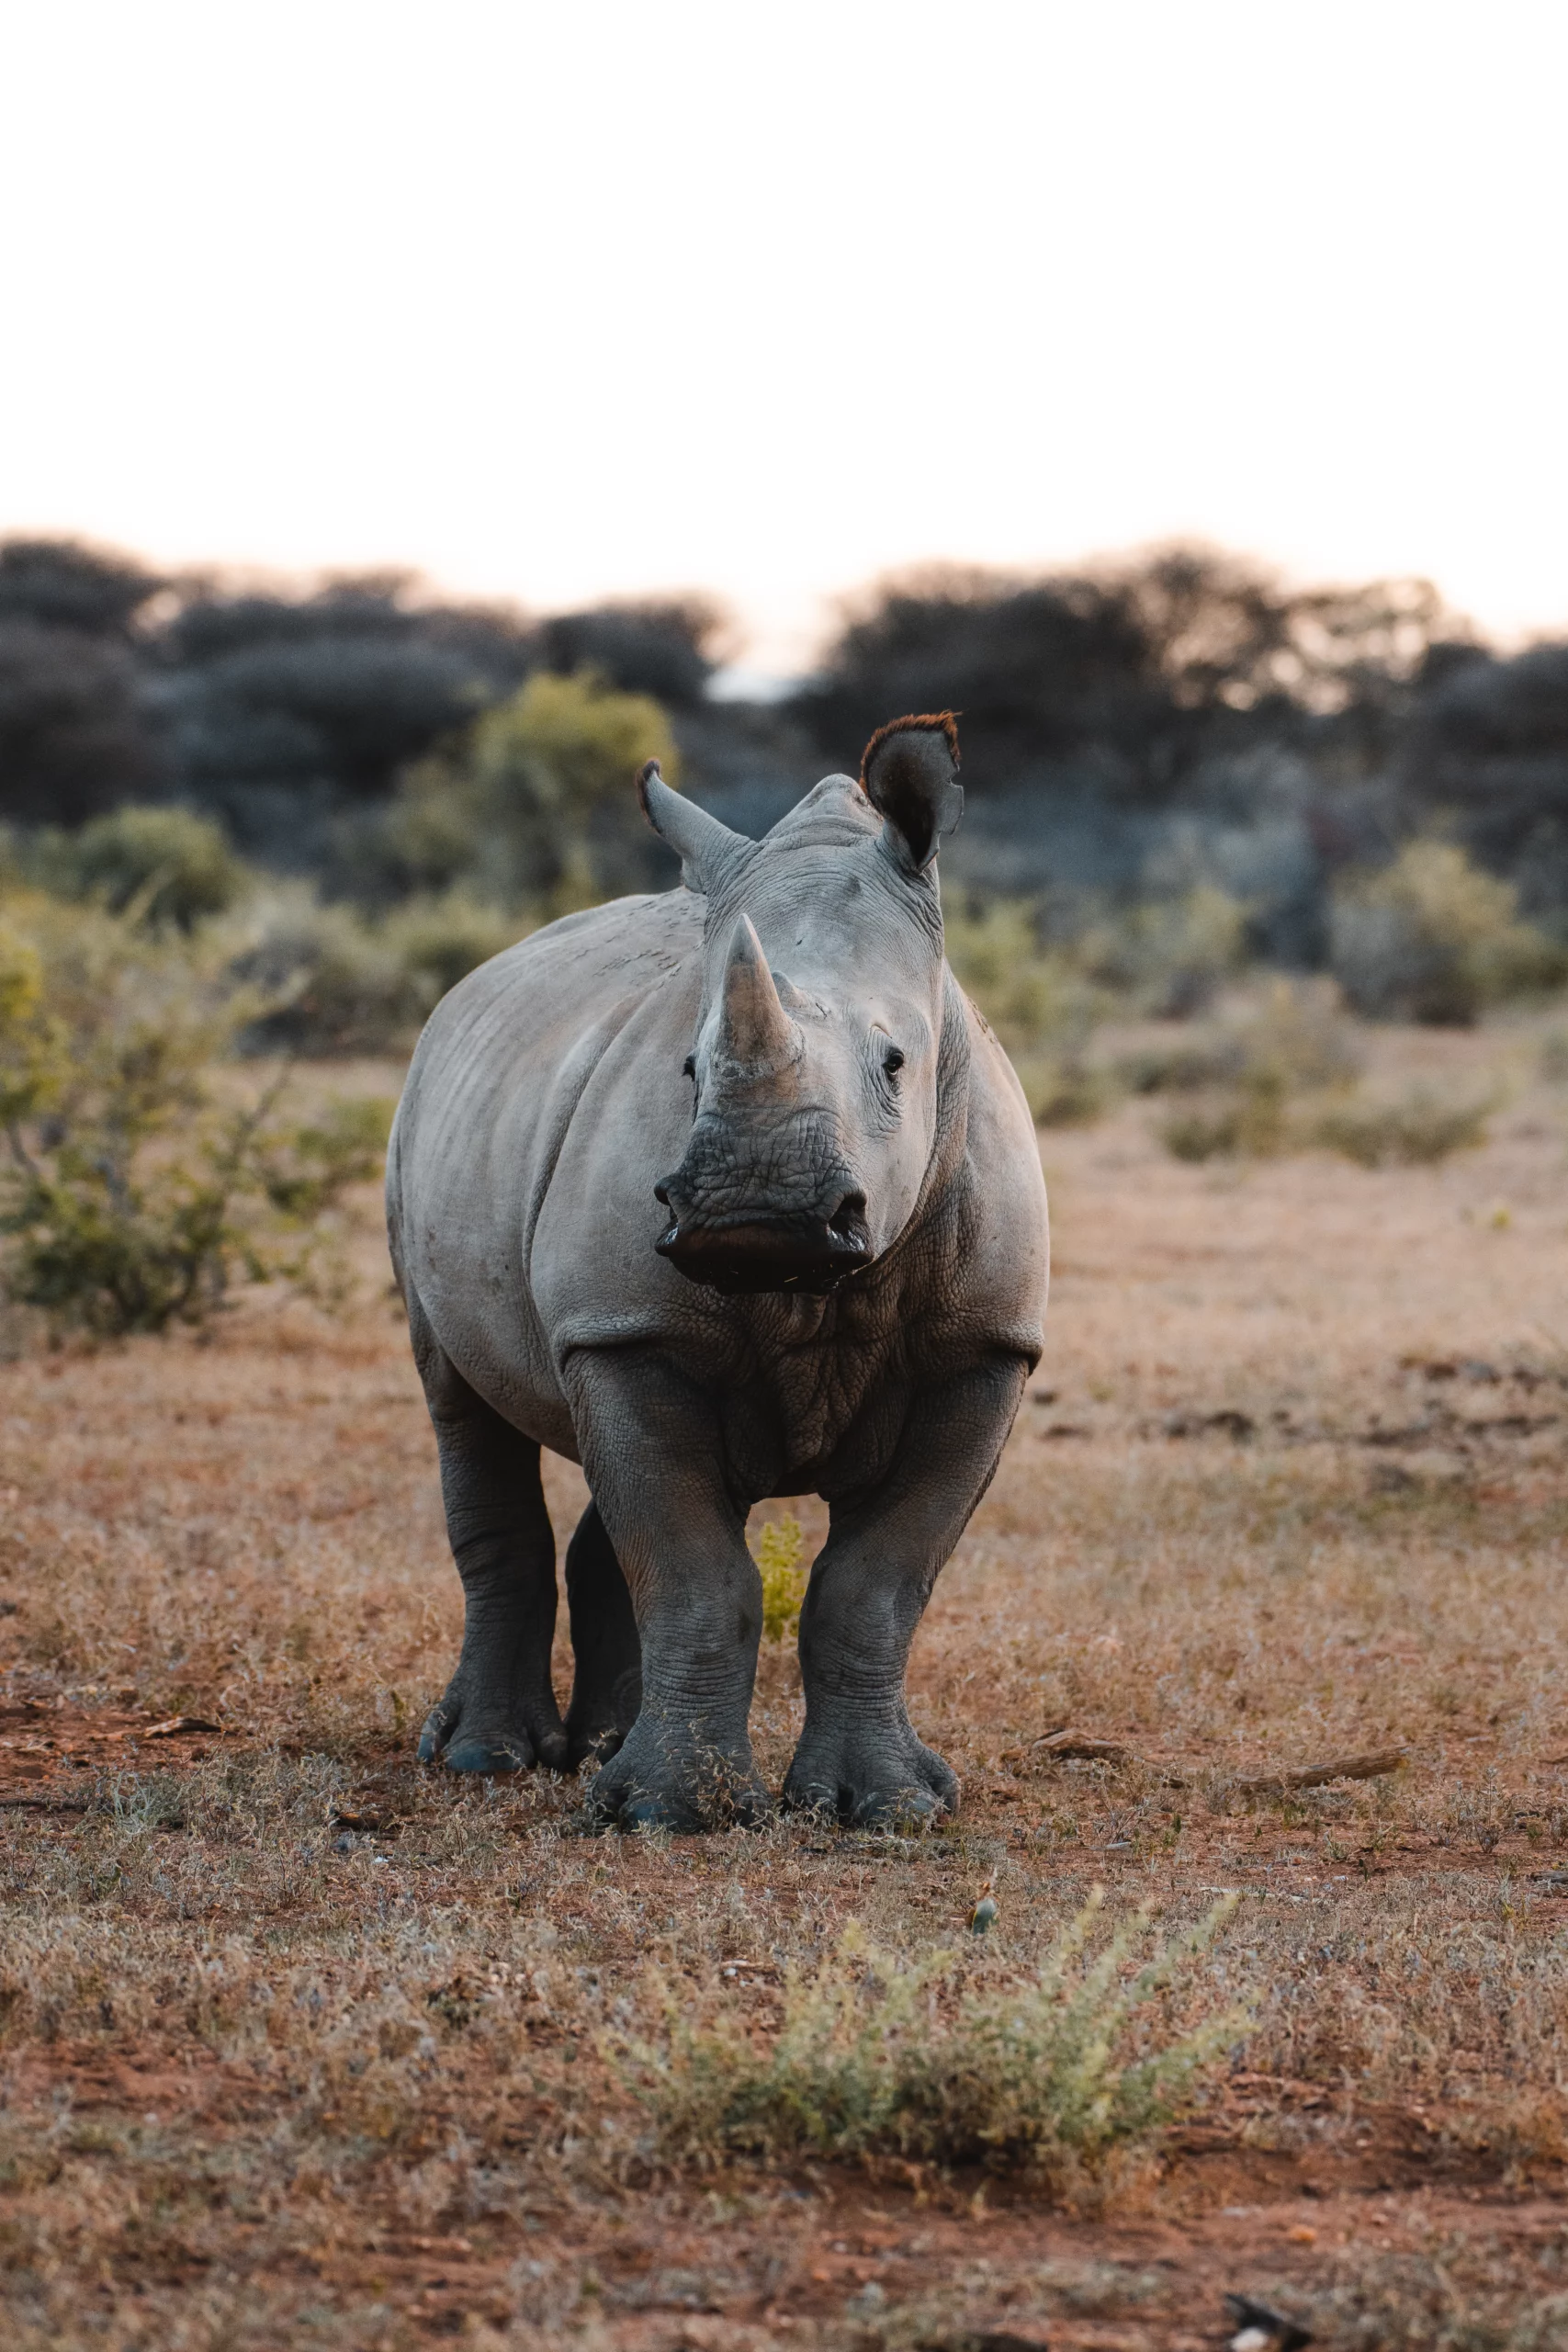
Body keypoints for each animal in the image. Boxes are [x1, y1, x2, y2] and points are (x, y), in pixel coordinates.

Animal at [386, 713, 1049, 1829]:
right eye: (690, 1071)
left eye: (896, 1064)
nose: (756, 1214)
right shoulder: (628, 1327)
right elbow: (696, 1572)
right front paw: (671, 1813)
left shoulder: (985, 1347)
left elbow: (875, 1583)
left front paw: (887, 1808)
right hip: (416, 1125)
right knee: (458, 1401)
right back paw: (487, 1758)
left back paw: (596, 1748)